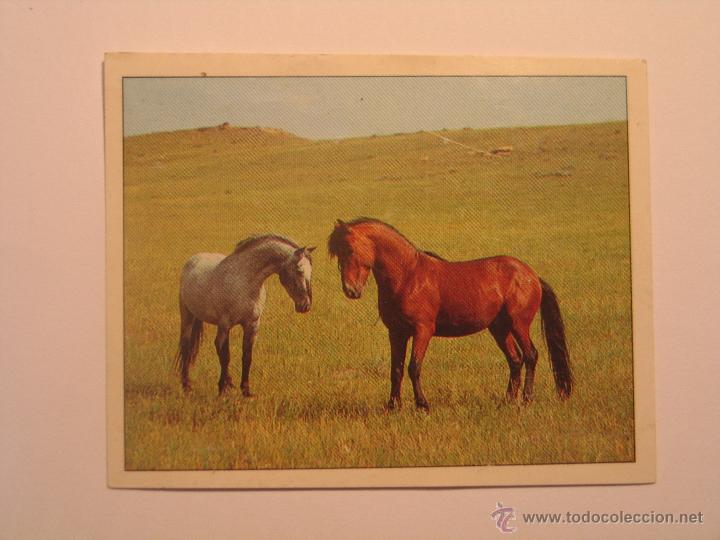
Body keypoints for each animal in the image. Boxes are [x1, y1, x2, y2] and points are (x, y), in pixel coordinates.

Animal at [175, 234, 315, 396]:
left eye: (310, 272)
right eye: (299, 270)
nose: (305, 305)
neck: (245, 281)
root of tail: (193, 259)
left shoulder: (252, 325)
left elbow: (247, 357)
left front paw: (245, 390)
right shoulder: (224, 325)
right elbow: (225, 356)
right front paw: (222, 389)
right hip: (187, 316)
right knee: (186, 346)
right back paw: (186, 385)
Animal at [327, 218, 572, 411]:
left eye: (350, 249)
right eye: (338, 254)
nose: (350, 290)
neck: (408, 276)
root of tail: (531, 275)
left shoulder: (423, 331)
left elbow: (413, 367)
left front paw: (422, 405)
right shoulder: (396, 333)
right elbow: (395, 369)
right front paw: (392, 406)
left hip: (519, 325)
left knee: (530, 356)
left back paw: (527, 399)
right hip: (499, 329)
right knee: (515, 360)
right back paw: (506, 401)